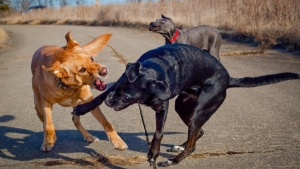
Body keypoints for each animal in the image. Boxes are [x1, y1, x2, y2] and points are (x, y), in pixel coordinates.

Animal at [72, 43, 298, 166]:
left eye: (127, 97)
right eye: (117, 85)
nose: (110, 102)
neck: (157, 67)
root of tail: (227, 78)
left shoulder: (162, 108)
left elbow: (158, 133)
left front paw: (153, 154)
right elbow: (97, 98)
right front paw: (83, 108)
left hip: (200, 109)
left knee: (192, 144)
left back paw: (173, 160)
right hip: (183, 104)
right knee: (197, 133)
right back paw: (180, 146)